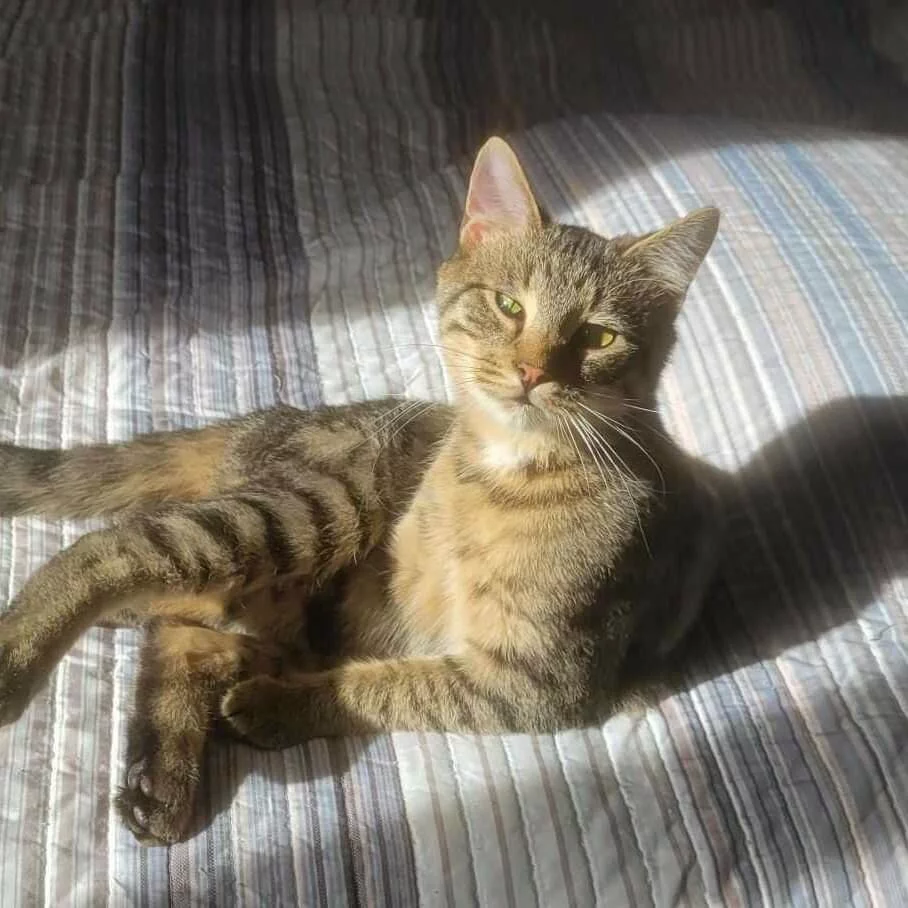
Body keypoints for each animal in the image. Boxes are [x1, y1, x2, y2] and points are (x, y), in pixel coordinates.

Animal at [0, 138, 724, 848]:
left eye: (598, 336)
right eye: (510, 306)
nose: (531, 372)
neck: (501, 466)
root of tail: (273, 420)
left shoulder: (537, 681)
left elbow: (394, 686)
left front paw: (275, 703)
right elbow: (397, 680)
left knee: (176, 625)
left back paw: (160, 777)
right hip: (324, 504)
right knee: (116, 549)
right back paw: (26, 653)